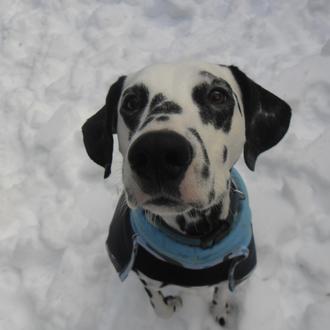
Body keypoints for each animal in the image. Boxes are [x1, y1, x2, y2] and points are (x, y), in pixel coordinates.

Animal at [82, 62, 292, 328]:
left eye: (217, 95)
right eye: (131, 102)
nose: (157, 152)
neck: (194, 244)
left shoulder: (233, 270)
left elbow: (222, 293)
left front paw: (221, 312)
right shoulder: (144, 276)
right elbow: (161, 307)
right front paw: (172, 304)